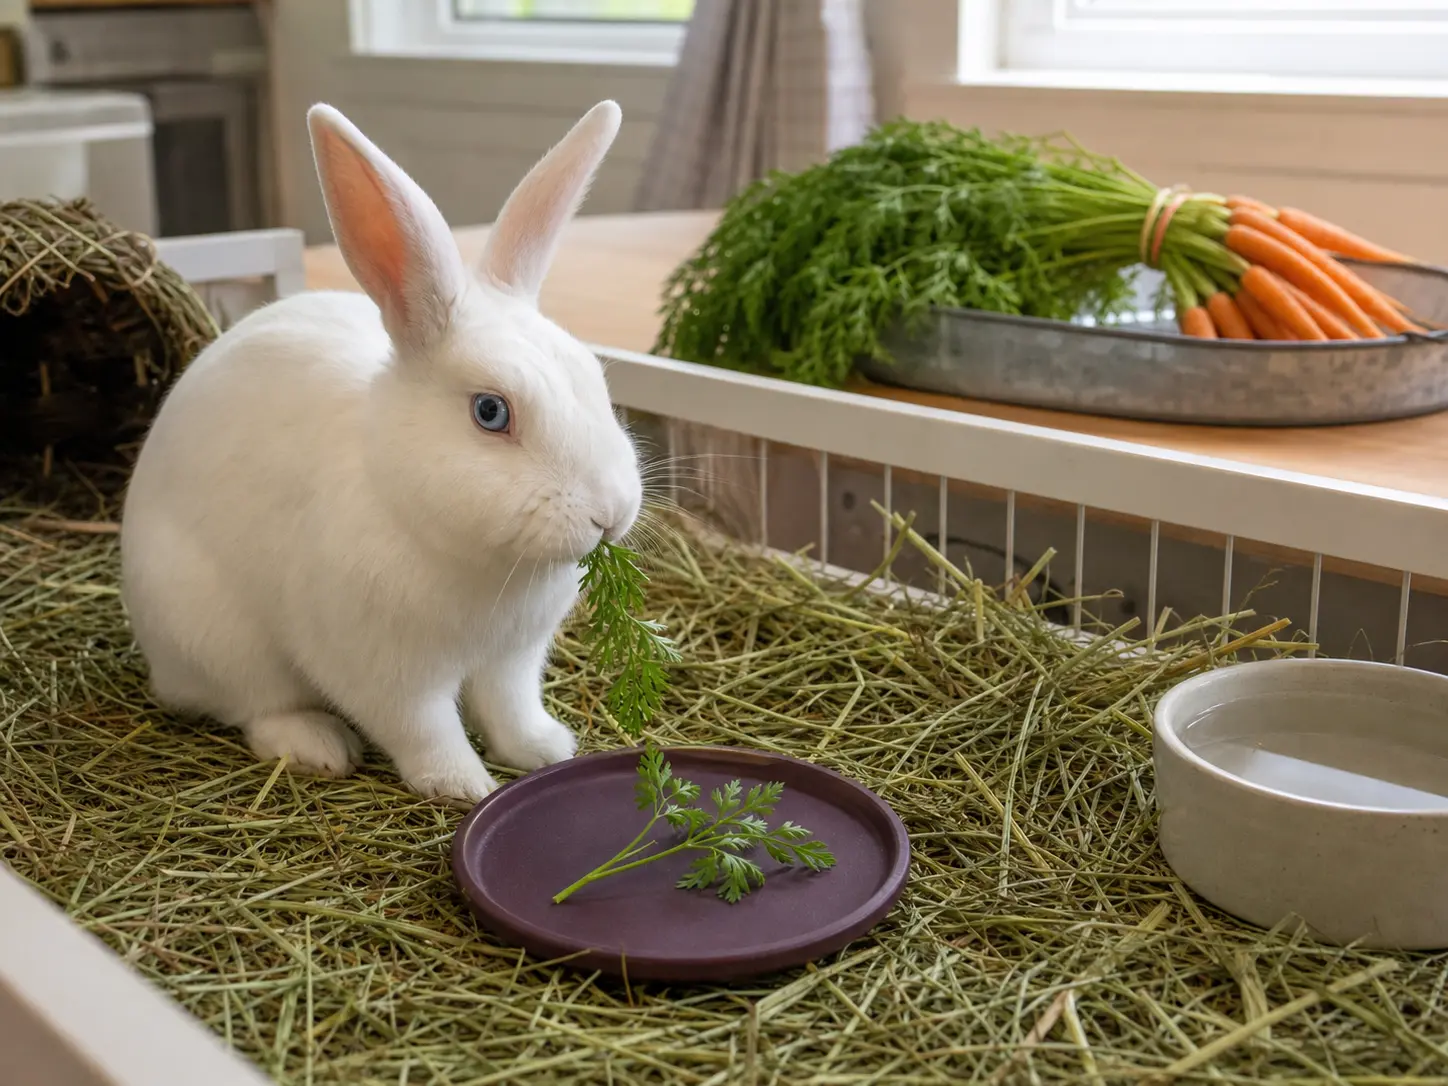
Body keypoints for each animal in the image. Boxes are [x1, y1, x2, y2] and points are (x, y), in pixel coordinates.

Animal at [119, 100, 641, 803]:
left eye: (595, 378)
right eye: (490, 412)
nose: (610, 512)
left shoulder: (511, 659)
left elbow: (509, 707)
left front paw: (543, 749)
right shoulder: (384, 672)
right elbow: (424, 730)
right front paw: (464, 787)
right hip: (216, 639)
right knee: (254, 707)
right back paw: (317, 745)